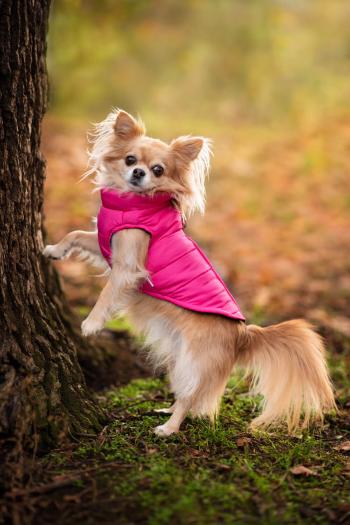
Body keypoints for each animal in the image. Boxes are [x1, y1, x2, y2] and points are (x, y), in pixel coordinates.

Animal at [43, 108, 336, 436]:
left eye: (158, 170)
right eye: (130, 160)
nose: (139, 173)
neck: (133, 204)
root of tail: (242, 335)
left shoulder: (128, 267)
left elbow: (107, 294)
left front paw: (91, 324)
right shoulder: (107, 245)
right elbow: (76, 234)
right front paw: (53, 249)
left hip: (194, 362)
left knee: (191, 397)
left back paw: (169, 427)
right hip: (177, 355)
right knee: (187, 394)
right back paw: (167, 409)